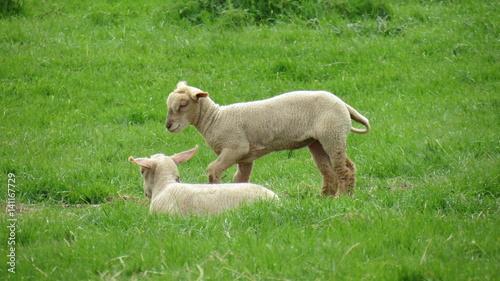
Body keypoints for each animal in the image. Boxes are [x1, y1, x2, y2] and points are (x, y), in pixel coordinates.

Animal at [166, 80, 370, 196]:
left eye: (183, 105)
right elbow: (240, 178)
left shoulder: (235, 147)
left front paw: (216, 188)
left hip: (332, 135)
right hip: (318, 141)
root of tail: (343, 104)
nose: (168, 126)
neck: (214, 118)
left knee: (342, 170)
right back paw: (330, 198)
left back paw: (342, 198)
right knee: (334, 170)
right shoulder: (245, 157)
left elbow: (212, 169)